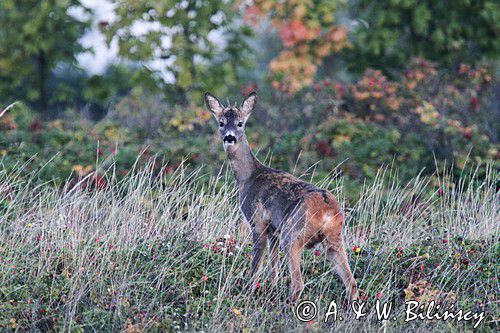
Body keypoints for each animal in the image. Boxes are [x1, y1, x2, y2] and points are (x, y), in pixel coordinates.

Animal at [205, 91, 358, 304]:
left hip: (292, 233)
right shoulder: (274, 231)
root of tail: (328, 210)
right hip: (334, 239)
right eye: (221, 122)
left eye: (240, 123)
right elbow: (274, 267)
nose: (229, 137)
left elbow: (256, 266)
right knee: (351, 282)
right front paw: (271, 288)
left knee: (298, 283)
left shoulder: (258, 222)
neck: (248, 177)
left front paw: (249, 294)